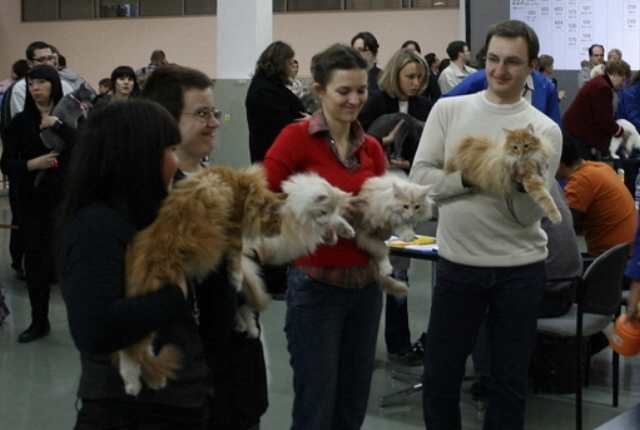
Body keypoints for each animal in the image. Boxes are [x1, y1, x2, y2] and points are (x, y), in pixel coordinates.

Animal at [118, 166, 355, 396]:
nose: (329, 219)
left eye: (333, 210)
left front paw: (345, 230)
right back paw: (137, 384)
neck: (296, 211)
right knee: (131, 351)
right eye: (323, 211)